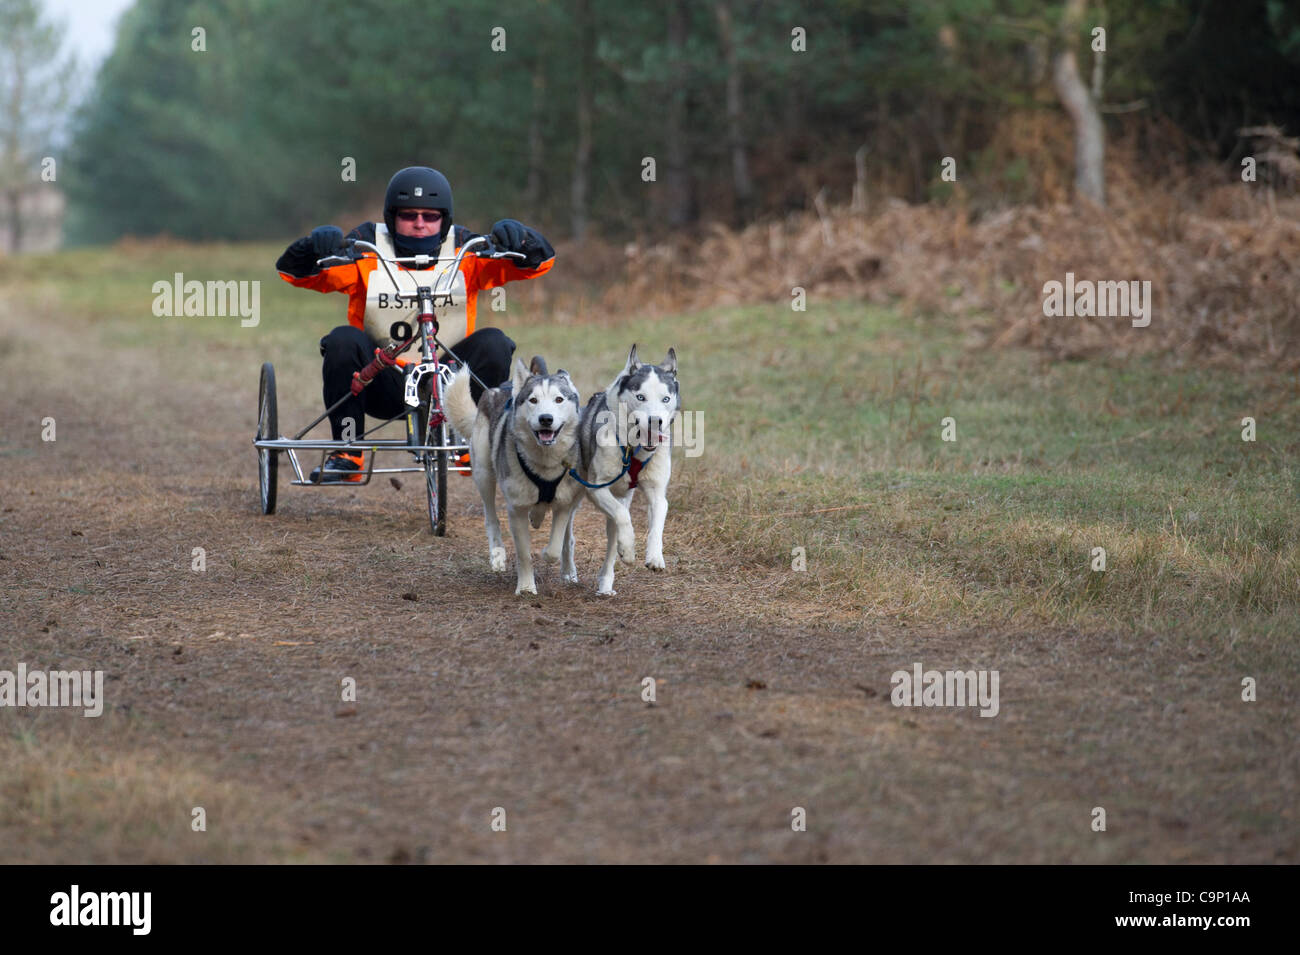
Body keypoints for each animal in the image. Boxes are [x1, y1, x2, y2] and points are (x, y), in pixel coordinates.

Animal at [449, 356, 587, 595]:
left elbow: (556, 546)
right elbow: (524, 554)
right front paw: (525, 587)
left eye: (559, 399)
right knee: (491, 517)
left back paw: (568, 569)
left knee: (567, 537)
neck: (545, 462)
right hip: (483, 473)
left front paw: (548, 554)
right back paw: (497, 554)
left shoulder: (564, 503)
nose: (546, 418)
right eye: (533, 400)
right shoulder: (516, 509)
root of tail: (498, 388)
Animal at [569, 343, 681, 597]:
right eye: (640, 397)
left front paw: (655, 556)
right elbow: (623, 516)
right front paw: (629, 550)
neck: (633, 448)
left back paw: (606, 583)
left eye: (666, 398)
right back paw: (568, 571)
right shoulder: (597, 488)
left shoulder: (657, 492)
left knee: (613, 538)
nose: (655, 421)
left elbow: (657, 519)